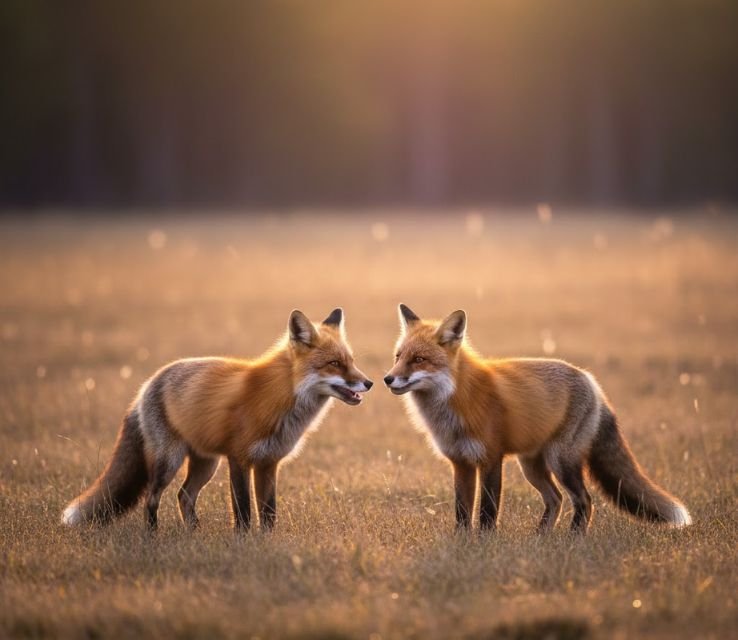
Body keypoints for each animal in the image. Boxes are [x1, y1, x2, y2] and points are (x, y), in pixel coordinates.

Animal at [61, 308, 372, 531]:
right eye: (334, 364)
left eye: (351, 361)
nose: (369, 383)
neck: (281, 398)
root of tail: (148, 384)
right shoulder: (239, 458)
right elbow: (244, 510)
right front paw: (243, 543)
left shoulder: (269, 463)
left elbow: (268, 512)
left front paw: (266, 542)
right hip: (169, 461)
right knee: (151, 498)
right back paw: (152, 537)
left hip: (206, 464)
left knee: (184, 496)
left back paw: (194, 534)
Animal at [383, 304, 691, 534]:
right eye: (398, 357)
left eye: (419, 359)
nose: (387, 379)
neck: (455, 401)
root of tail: (591, 380)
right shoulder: (461, 463)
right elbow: (462, 512)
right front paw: (462, 545)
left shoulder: (491, 458)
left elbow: (487, 511)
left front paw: (484, 545)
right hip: (531, 465)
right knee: (555, 499)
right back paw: (541, 537)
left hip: (561, 460)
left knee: (584, 500)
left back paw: (572, 540)